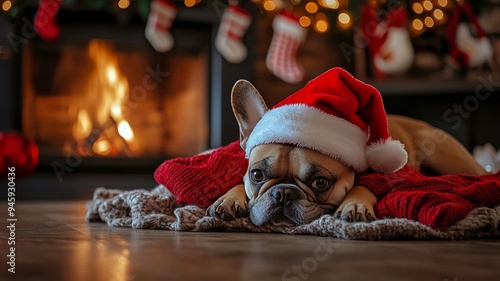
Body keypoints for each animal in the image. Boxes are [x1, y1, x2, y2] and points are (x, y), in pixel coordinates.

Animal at [205, 79, 486, 225]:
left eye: (320, 182)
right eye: (257, 175)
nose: (283, 193)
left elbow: (363, 185)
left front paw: (355, 204)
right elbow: (237, 184)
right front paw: (228, 199)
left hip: (446, 158)